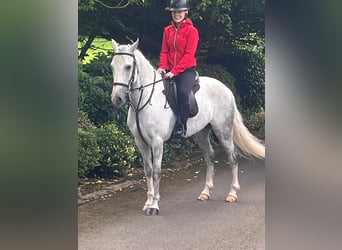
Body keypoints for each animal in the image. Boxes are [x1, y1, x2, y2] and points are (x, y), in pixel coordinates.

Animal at [109, 38, 264, 216]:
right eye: (112, 66)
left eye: (128, 66)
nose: (117, 98)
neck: (144, 101)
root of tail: (226, 89)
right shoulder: (141, 143)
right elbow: (147, 170)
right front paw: (148, 203)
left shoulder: (157, 143)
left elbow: (156, 172)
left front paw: (154, 206)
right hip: (202, 133)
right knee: (210, 156)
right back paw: (205, 192)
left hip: (223, 131)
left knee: (232, 157)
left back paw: (232, 193)